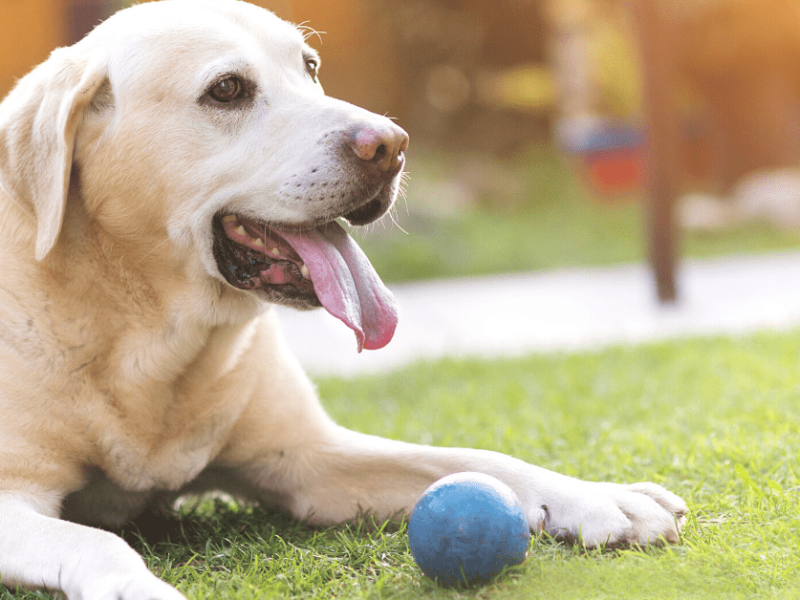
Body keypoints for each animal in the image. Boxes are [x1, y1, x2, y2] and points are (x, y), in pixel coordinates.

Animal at [0, 2, 688, 596]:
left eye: (309, 67)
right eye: (227, 90)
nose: (392, 145)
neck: (148, 334)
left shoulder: (309, 459)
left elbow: (476, 457)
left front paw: (599, 496)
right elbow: (95, 541)